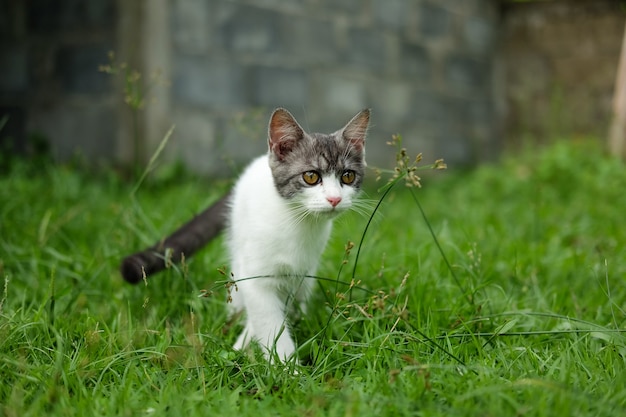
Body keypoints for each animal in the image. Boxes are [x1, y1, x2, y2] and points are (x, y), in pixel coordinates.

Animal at [119, 107, 368, 360]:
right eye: (311, 176)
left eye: (347, 176)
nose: (335, 199)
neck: (298, 223)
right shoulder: (256, 275)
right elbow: (268, 319)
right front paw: (284, 363)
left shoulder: (299, 272)